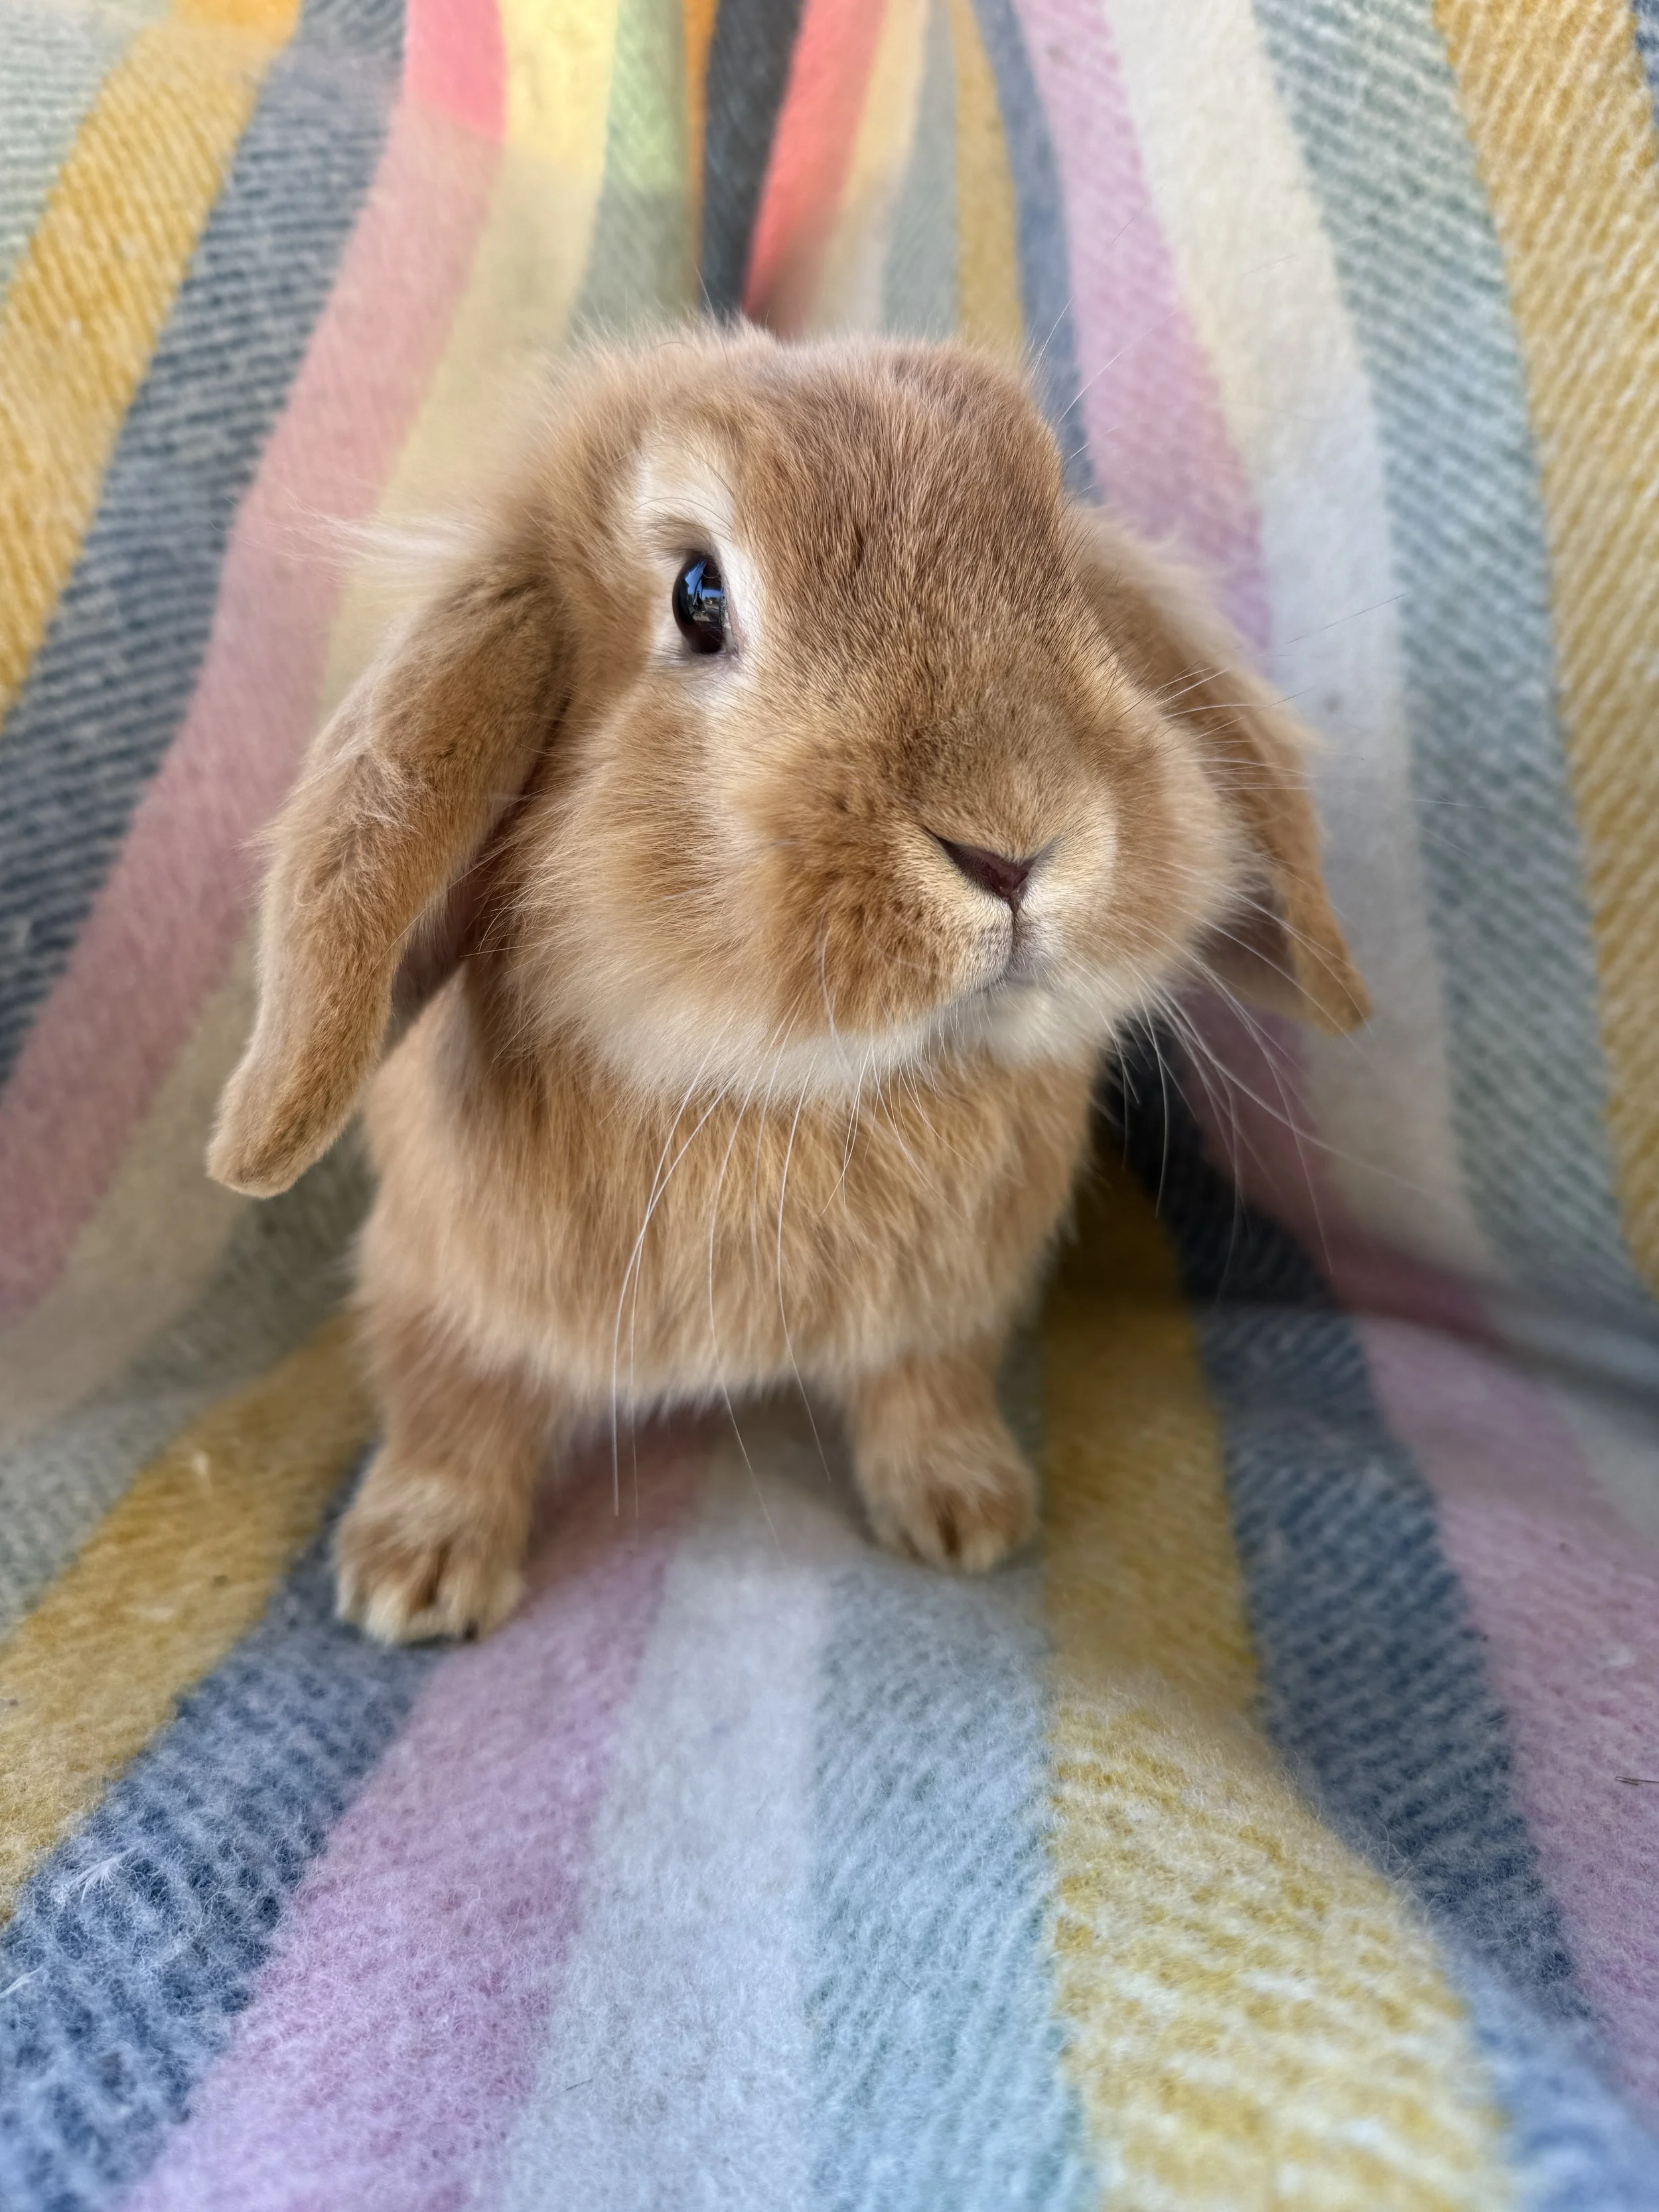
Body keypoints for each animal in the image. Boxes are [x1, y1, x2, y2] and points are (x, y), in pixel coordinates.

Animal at [208, 327, 1366, 1644]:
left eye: (1065, 573)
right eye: (697, 596)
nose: (1013, 843)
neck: (795, 1093)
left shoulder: (945, 1317)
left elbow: (929, 1397)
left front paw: (969, 1517)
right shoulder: (443, 1289)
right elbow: (450, 1409)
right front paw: (414, 1580)